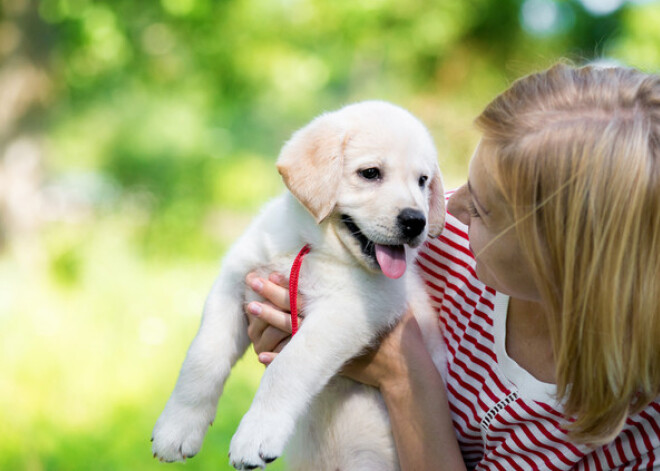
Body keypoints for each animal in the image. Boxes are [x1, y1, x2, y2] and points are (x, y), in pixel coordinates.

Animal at [152, 101, 446, 470]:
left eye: (422, 181)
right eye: (370, 173)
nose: (416, 221)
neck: (311, 246)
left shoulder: (349, 310)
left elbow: (288, 367)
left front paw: (256, 435)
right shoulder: (233, 282)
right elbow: (202, 357)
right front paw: (176, 429)